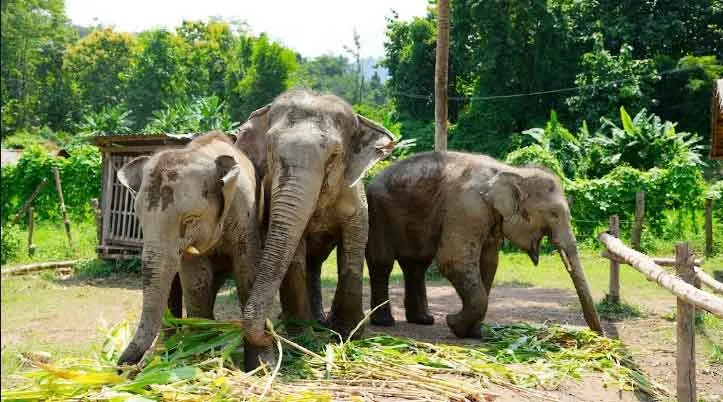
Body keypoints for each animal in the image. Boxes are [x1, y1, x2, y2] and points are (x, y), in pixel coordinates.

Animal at [115, 132, 266, 370]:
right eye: (140, 220)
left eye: (190, 219)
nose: (122, 368)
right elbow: (196, 282)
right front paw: (200, 357)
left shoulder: (246, 214)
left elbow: (247, 272)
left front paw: (258, 366)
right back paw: (168, 349)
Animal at [234, 90, 396, 347]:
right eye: (271, 151)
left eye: (334, 155)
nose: (269, 334)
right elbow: (294, 254)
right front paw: (302, 338)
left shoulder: (355, 197)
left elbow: (353, 246)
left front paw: (348, 334)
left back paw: (323, 323)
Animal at [365, 151, 602, 338]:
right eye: (554, 214)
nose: (598, 334)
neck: (512, 171)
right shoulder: (467, 207)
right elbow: (453, 259)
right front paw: (454, 324)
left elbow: (489, 263)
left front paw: (475, 333)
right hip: (377, 211)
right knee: (382, 262)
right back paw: (385, 322)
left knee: (416, 264)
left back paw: (424, 320)